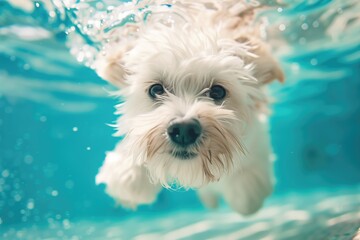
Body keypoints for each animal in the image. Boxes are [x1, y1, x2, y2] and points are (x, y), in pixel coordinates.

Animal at [95, 0, 284, 216]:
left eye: (217, 92)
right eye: (156, 89)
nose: (184, 130)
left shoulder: (256, 142)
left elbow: (247, 192)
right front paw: (131, 174)